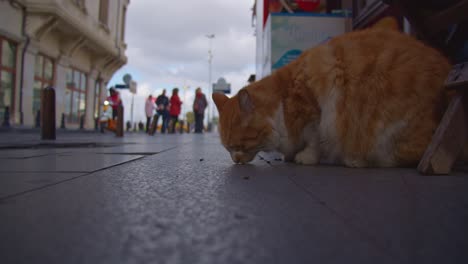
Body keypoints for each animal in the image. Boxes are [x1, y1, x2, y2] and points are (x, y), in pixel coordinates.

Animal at [212, 27, 450, 167]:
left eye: (239, 147)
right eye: (228, 149)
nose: (235, 160)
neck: (282, 102)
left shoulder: (316, 112)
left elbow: (314, 141)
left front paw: (305, 157)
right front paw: (288, 156)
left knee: (416, 154)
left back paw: (356, 160)